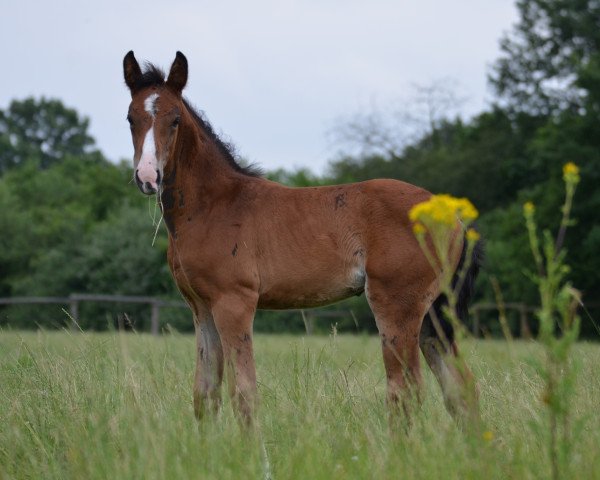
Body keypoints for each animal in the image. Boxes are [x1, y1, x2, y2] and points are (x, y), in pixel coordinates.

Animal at [122, 49, 482, 424]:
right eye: (130, 118)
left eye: (175, 119)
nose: (147, 176)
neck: (214, 205)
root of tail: (454, 217)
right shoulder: (201, 307)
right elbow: (204, 396)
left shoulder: (234, 302)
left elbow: (244, 394)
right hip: (434, 313)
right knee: (460, 388)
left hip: (398, 306)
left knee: (406, 391)